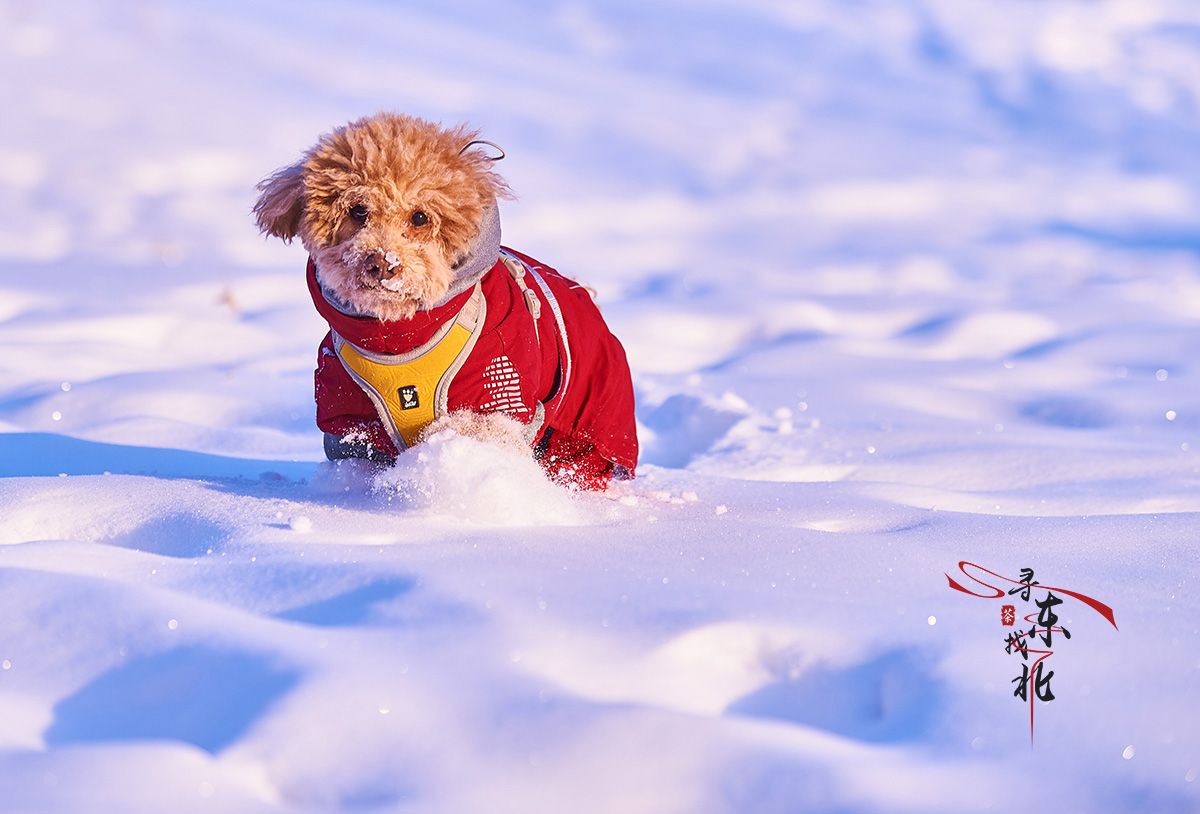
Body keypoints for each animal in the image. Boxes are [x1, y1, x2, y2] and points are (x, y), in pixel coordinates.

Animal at [253, 111, 638, 487]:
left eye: (420, 217)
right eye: (358, 211)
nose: (381, 263)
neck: (400, 336)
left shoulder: (500, 392)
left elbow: (475, 430)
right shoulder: (347, 412)